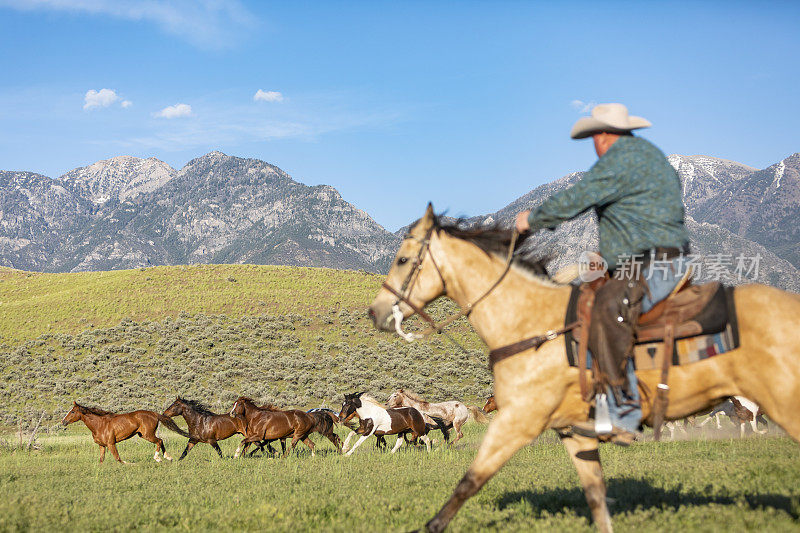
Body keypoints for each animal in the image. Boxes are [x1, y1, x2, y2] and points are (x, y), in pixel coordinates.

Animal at [61, 400, 190, 462]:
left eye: (72, 411)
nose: (63, 421)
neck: (99, 425)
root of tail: (154, 414)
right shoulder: (102, 446)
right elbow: (101, 460)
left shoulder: (111, 444)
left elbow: (118, 459)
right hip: (143, 435)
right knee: (161, 441)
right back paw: (168, 457)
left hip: (148, 435)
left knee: (159, 441)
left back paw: (158, 458)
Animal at [368, 204, 800, 532]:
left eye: (403, 259)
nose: (375, 312)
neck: (530, 323)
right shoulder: (574, 431)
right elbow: (596, 497)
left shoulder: (518, 421)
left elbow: (468, 482)